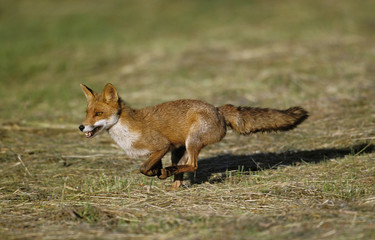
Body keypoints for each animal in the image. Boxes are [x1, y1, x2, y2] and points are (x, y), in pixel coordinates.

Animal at [78, 83, 308, 190]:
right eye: (87, 113)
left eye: (98, 114)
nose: (81, 126)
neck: (127, 130)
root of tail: (218, 109)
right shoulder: (161, 151)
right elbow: (150, 167)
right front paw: (158, 173)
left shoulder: (161, 145)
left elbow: (143, 168)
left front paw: (156, 172)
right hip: (179, 151)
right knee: (183, 171)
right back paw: (172, 183)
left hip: (192, 142)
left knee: (193, 165)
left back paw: (169, 173)